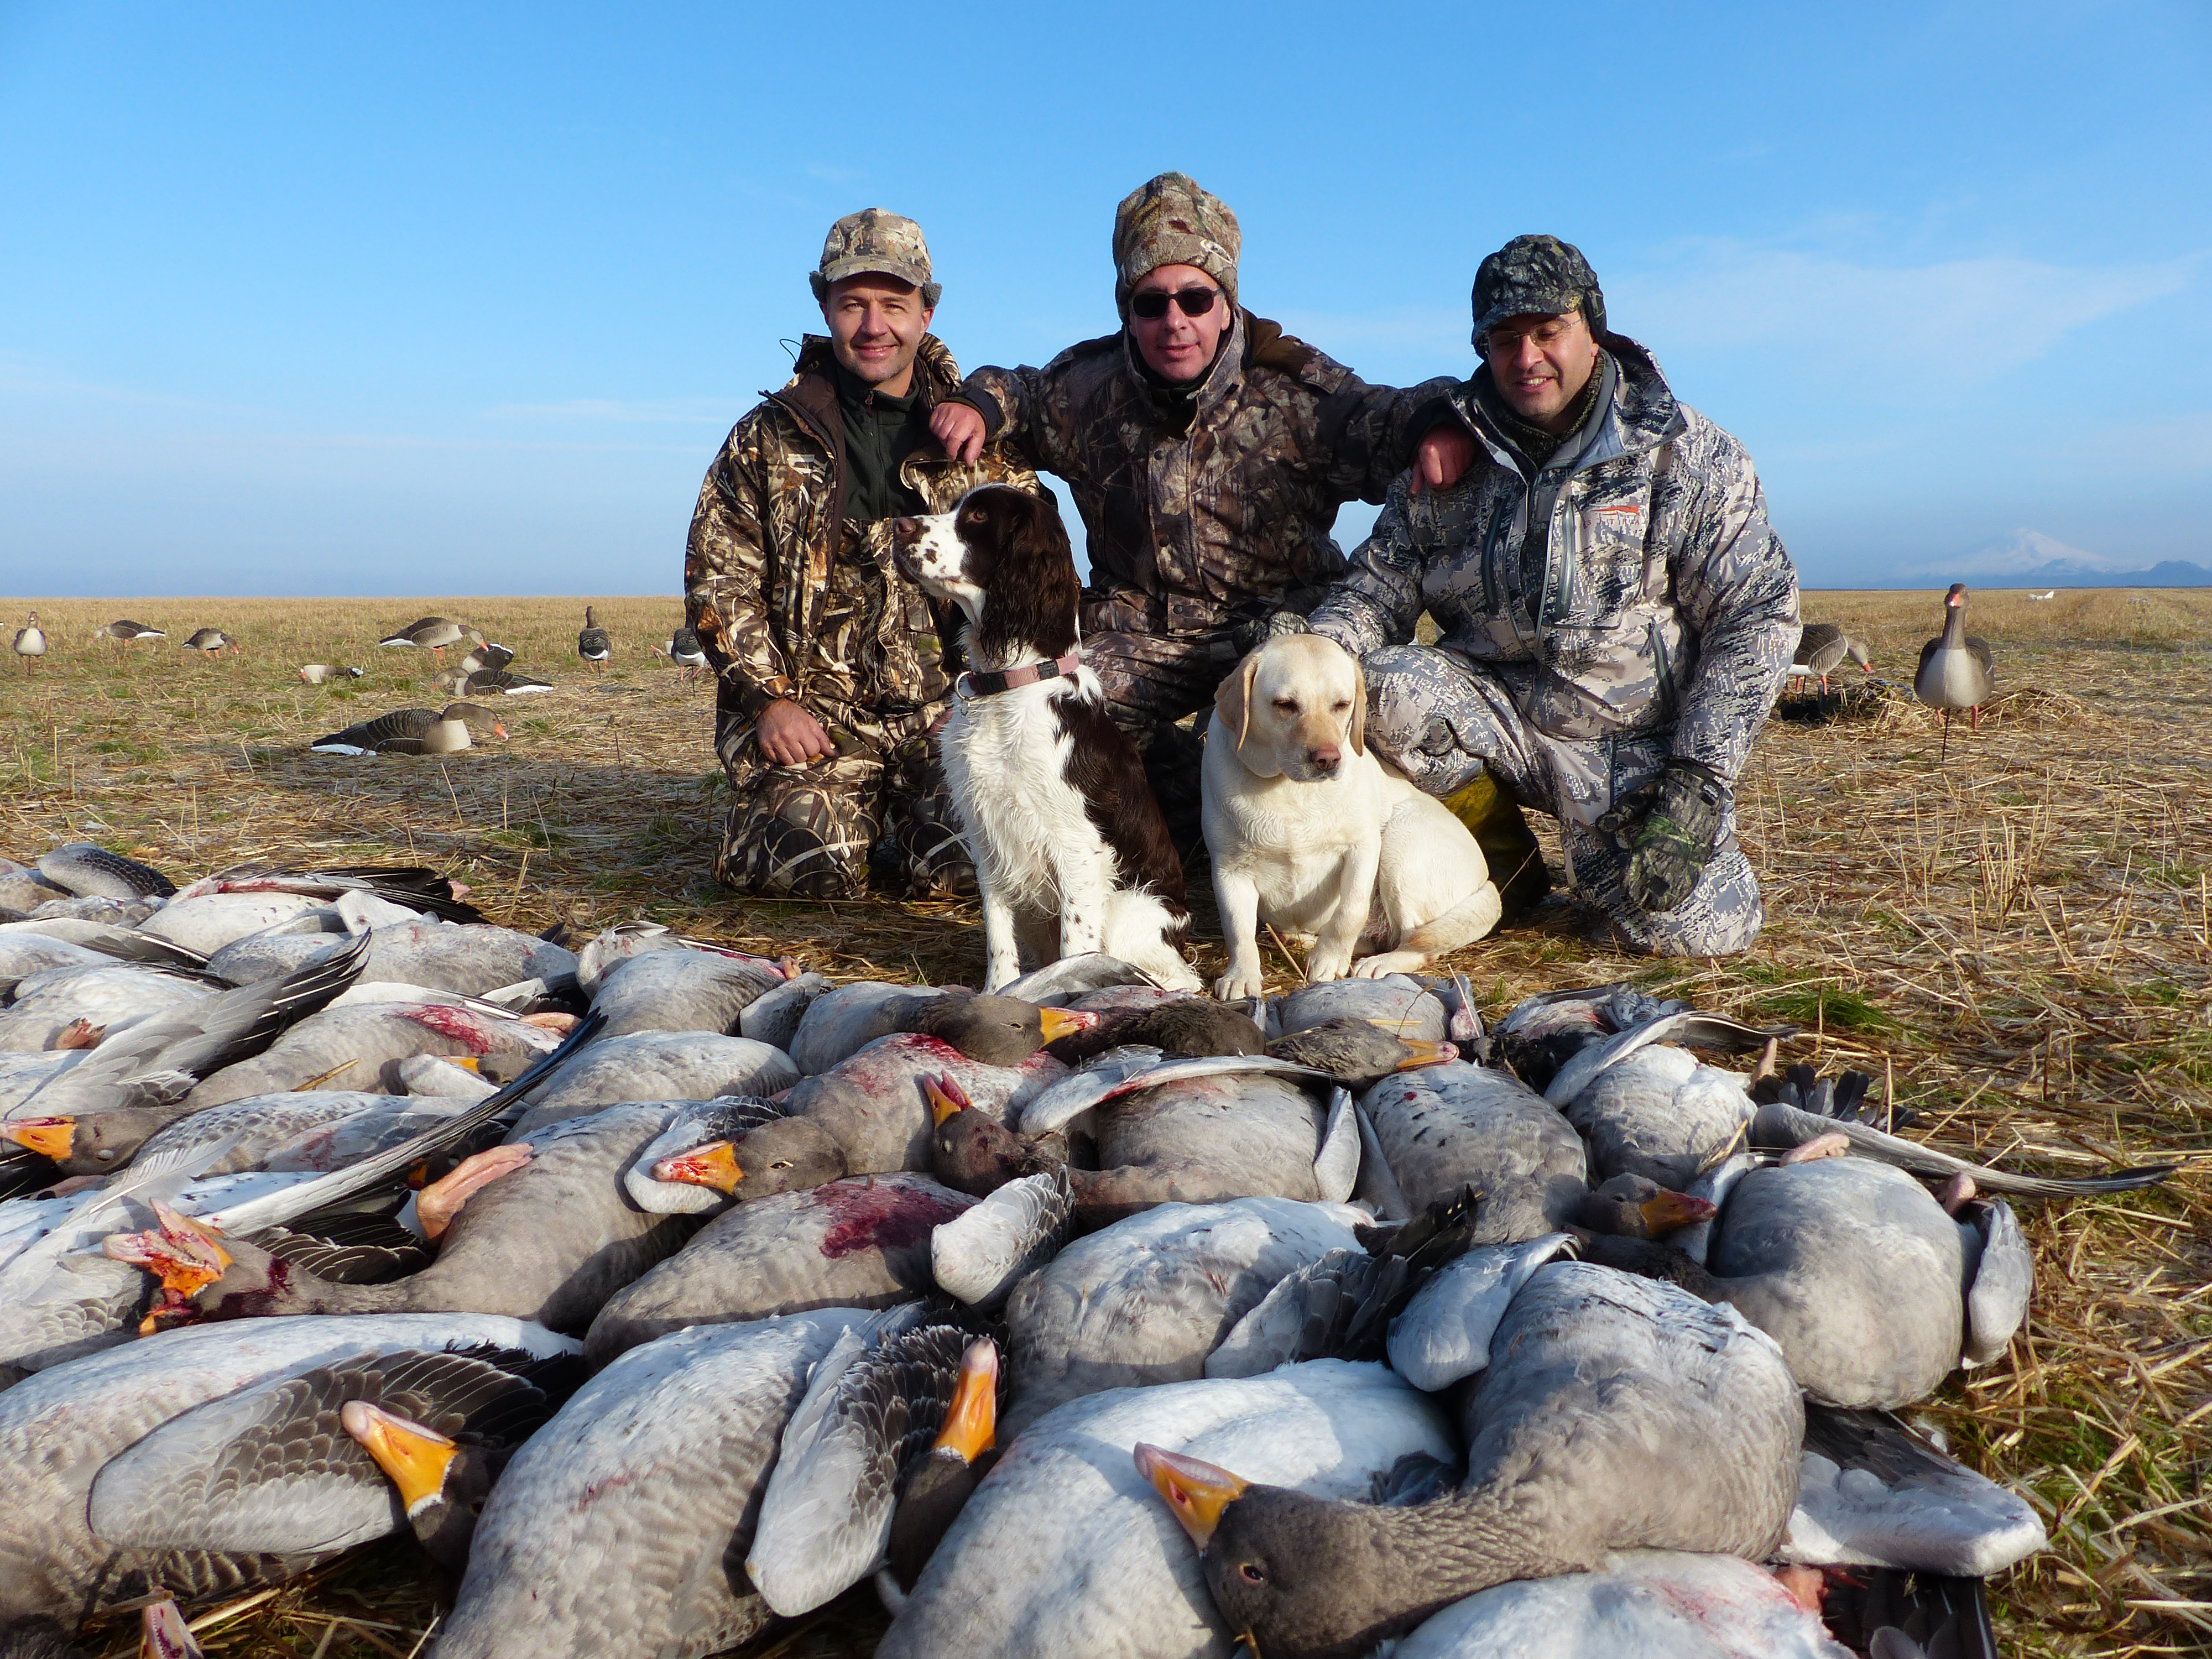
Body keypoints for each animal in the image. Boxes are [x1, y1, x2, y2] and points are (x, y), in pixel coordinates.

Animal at [889, 487, 1203, 995]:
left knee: (1178, 978)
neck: (1010, 685)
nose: (898, 525)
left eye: (979, 516)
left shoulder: (1078, 847)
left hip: (1131, 908)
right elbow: (999, 934)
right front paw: (996, 993)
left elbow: (1077, 947)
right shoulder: (988, 837)